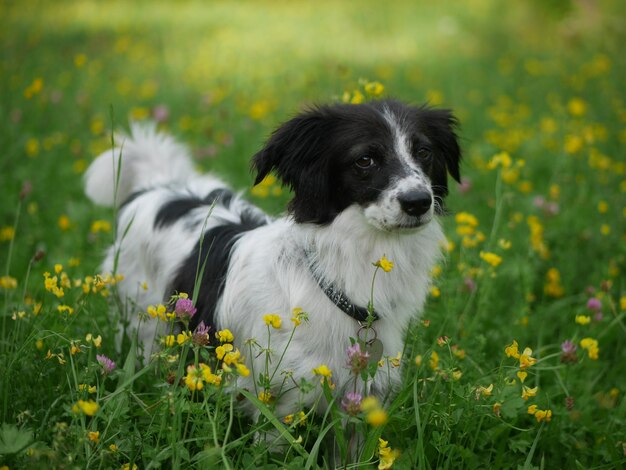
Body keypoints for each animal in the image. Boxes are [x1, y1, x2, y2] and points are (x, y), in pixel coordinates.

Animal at [84, 98, 458, 418]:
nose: (418, 201)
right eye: (364, 160)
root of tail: (159, 185)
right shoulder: (278, 401)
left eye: (424, 152)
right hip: (145, 322)